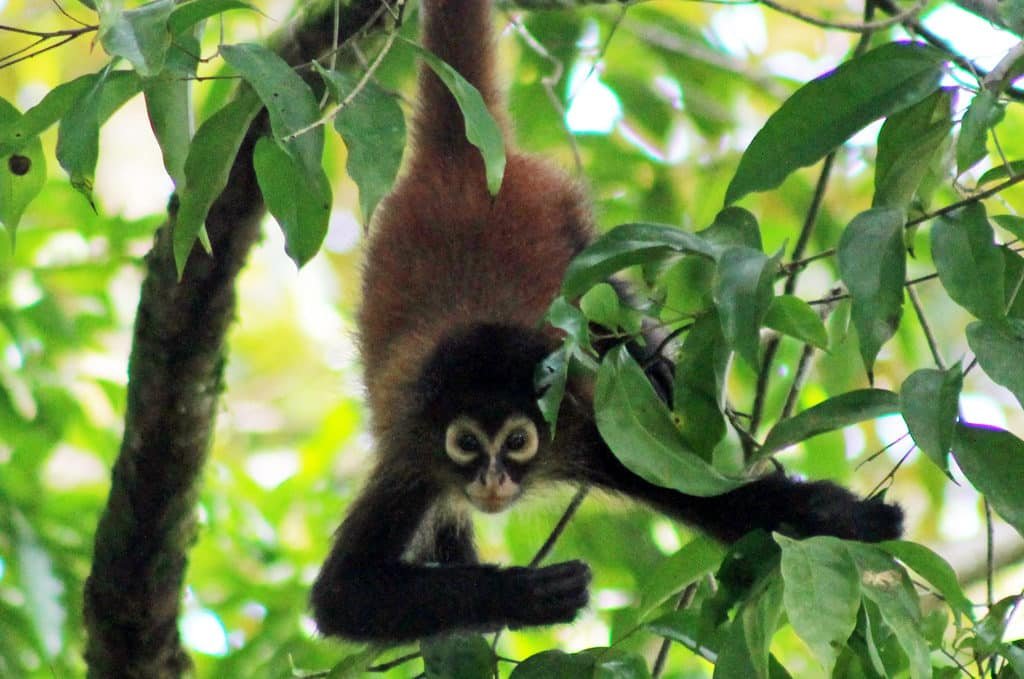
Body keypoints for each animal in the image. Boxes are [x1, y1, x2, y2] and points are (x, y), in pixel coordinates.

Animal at [307, 0, 901, 643]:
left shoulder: (587, 430)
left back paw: (655, 366)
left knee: (605, 297)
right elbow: (342, 595)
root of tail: (464, 159)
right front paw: (524, 594)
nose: (492, 481)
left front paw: (855, 519)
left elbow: (725, 501)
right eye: (466, 443)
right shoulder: (415, 454)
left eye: (516, 442)